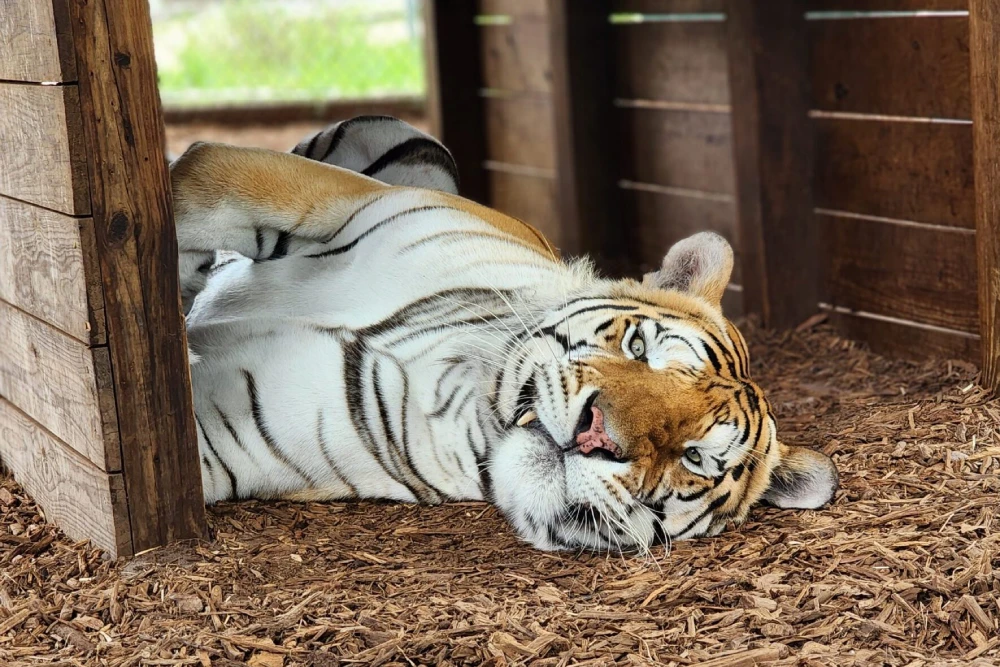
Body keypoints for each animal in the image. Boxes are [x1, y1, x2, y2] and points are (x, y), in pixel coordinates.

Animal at [170, 117, 838, 553]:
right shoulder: (338, 203)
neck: (460, 401)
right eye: (638, 348)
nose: (597, 435)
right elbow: (192, 185)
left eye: (695, 457)